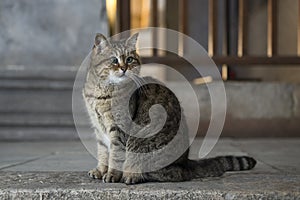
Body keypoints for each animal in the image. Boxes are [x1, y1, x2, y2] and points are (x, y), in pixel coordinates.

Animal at [83, 32, 256, 184]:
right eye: (114, 60)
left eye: (130, 59)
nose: (124, 68)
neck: (101, 93)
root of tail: (186, 163)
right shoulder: (98, 129)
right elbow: (103, 152)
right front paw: (100, 170)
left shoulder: (118, 128)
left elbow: (115, 155)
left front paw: (112, 174)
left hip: (142, 144)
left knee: (170, 174)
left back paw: (132, 175)